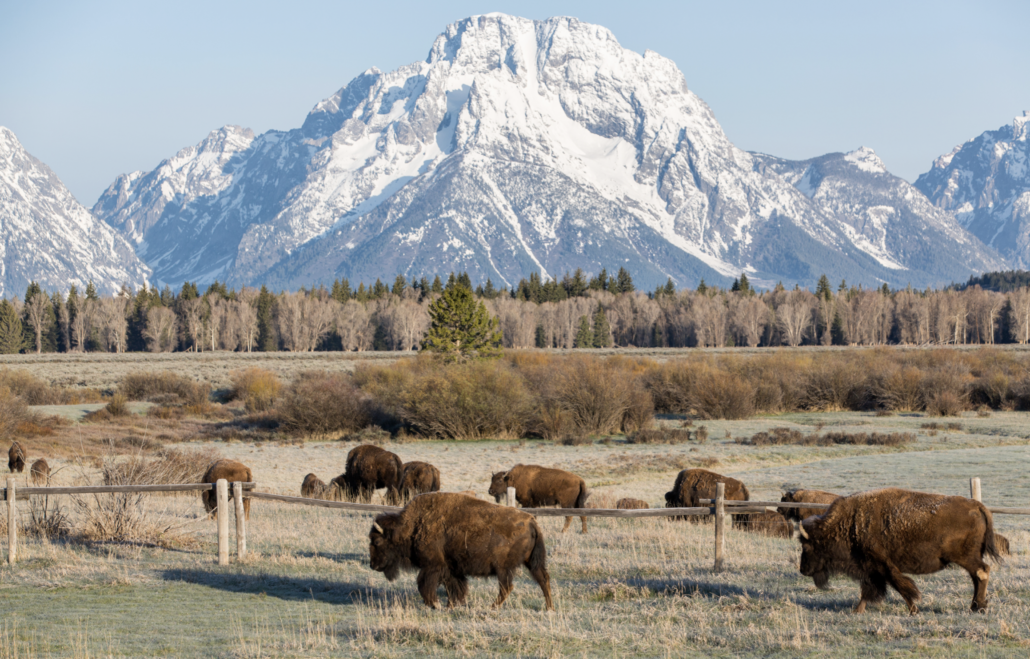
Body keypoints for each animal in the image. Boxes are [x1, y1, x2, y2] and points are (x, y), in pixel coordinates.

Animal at [369, 492, 553, 610]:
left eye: (376, 541)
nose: (373, 565)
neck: (411, 526)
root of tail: (531, 521)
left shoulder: (433, 566)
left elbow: (424, 584)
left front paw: (435, 604)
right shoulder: (451, 568)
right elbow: (455, 587)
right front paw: (451, 605)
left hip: (503, 568)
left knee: (507, 587)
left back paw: (493, 607)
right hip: (531, 562)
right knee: (542, 579)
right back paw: (549, 607)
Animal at [798, 488, 1002, 614]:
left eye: (807, 545)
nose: (803, 570)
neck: (851, 523)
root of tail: (976, 505)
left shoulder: (882, 565)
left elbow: (901, 587)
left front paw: (914, 610)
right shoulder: (870, 568)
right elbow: (869, 589)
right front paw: (858, 610)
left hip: (965, 557)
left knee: (982, 572)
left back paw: (979, 607)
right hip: (968, 558)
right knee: (977, 576)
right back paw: (976, 606)